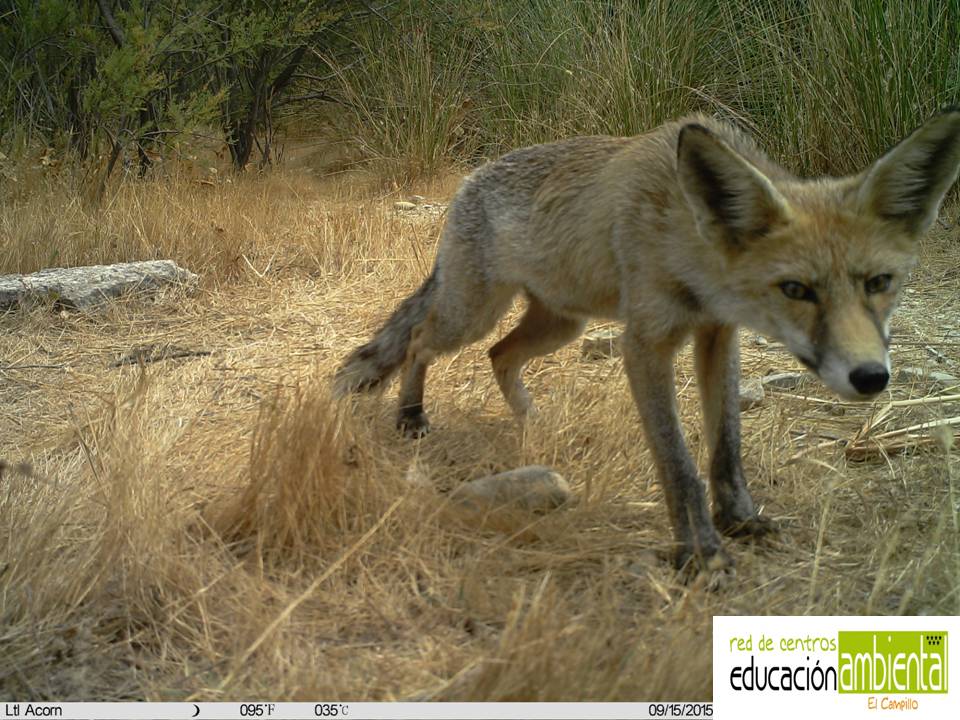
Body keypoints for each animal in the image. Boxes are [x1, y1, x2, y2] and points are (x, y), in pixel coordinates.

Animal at [335, 109, 960, 571]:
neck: (684, 238)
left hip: (560, 324)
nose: (871, 377)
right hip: (473, 313)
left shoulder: (718, 335)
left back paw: (532, 422)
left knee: (499, 356)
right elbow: (678, 462)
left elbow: (726, 446)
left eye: (880, 283)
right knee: (419, 339)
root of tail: (468, 182)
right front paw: (701, 553)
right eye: (796, 289)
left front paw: (739, 519)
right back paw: (411, 415)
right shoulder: (646, 343)